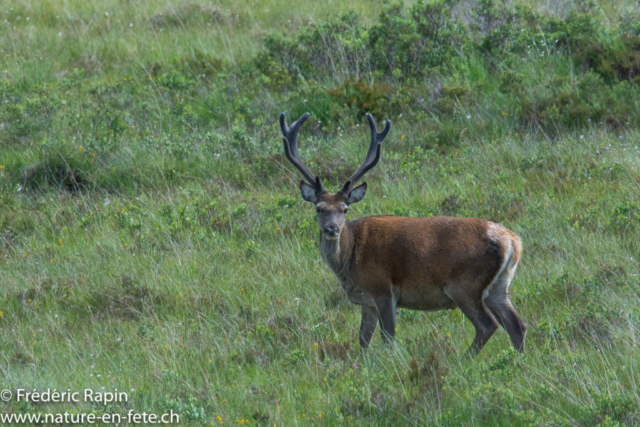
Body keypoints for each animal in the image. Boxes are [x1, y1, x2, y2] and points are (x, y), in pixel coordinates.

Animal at [278, 112, 524, 356]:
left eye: (344, 209)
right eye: (319, 208)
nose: (331, 229)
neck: (350, 259)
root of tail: (512, 240)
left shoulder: (383, 289)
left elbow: (388, 338)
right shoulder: (367, 301)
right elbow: (363, 339)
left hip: (465, 284)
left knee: (488, 324)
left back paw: (464, 358)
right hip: (500, 286)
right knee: (517, 325)